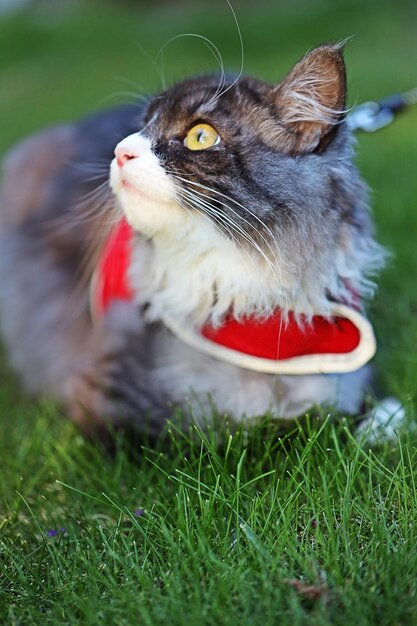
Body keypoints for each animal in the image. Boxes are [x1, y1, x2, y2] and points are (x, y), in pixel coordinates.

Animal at [0, 44, 386, 442]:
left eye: (200, 136)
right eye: (144, 124)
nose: (121, 151)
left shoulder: (345, 384)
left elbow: (330, 416)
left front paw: (380, 423)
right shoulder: (104, 400)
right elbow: (243, 436)